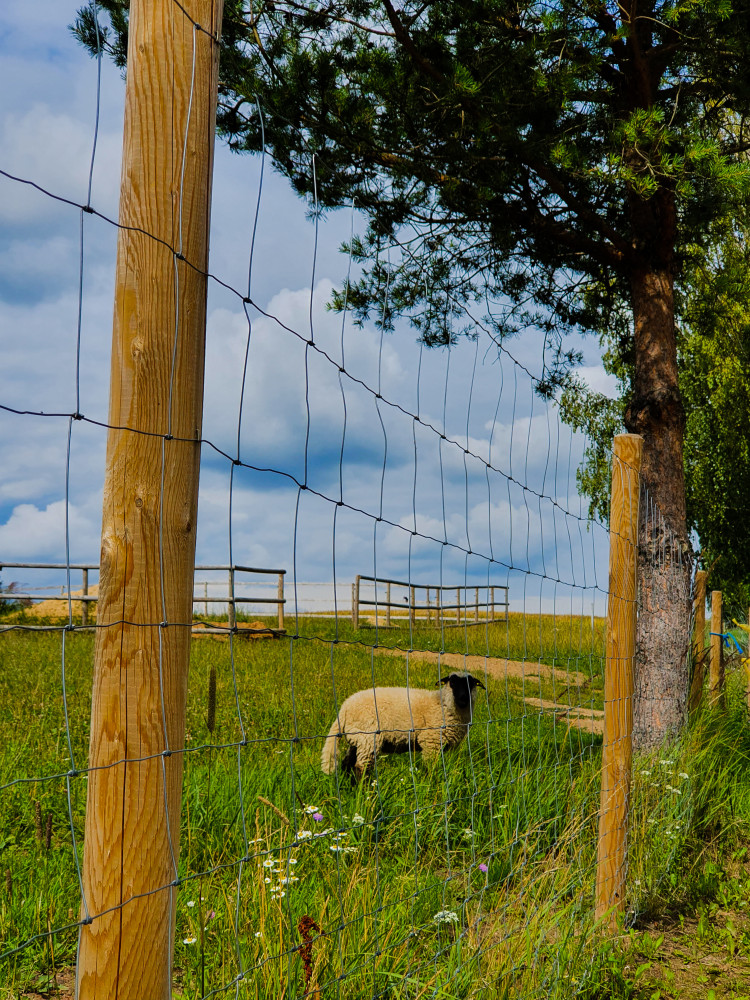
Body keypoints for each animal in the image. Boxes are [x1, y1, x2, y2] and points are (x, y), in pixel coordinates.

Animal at [318, 672, 484, 780]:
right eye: (453, 683)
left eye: (471, 684)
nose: (463, 698)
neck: (443, 704)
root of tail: (344, 709)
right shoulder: (431, 742)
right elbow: (431, 769)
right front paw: (430, 784)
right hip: (368, 738)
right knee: (360, 768)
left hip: (357, 738)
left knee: (347, 763)